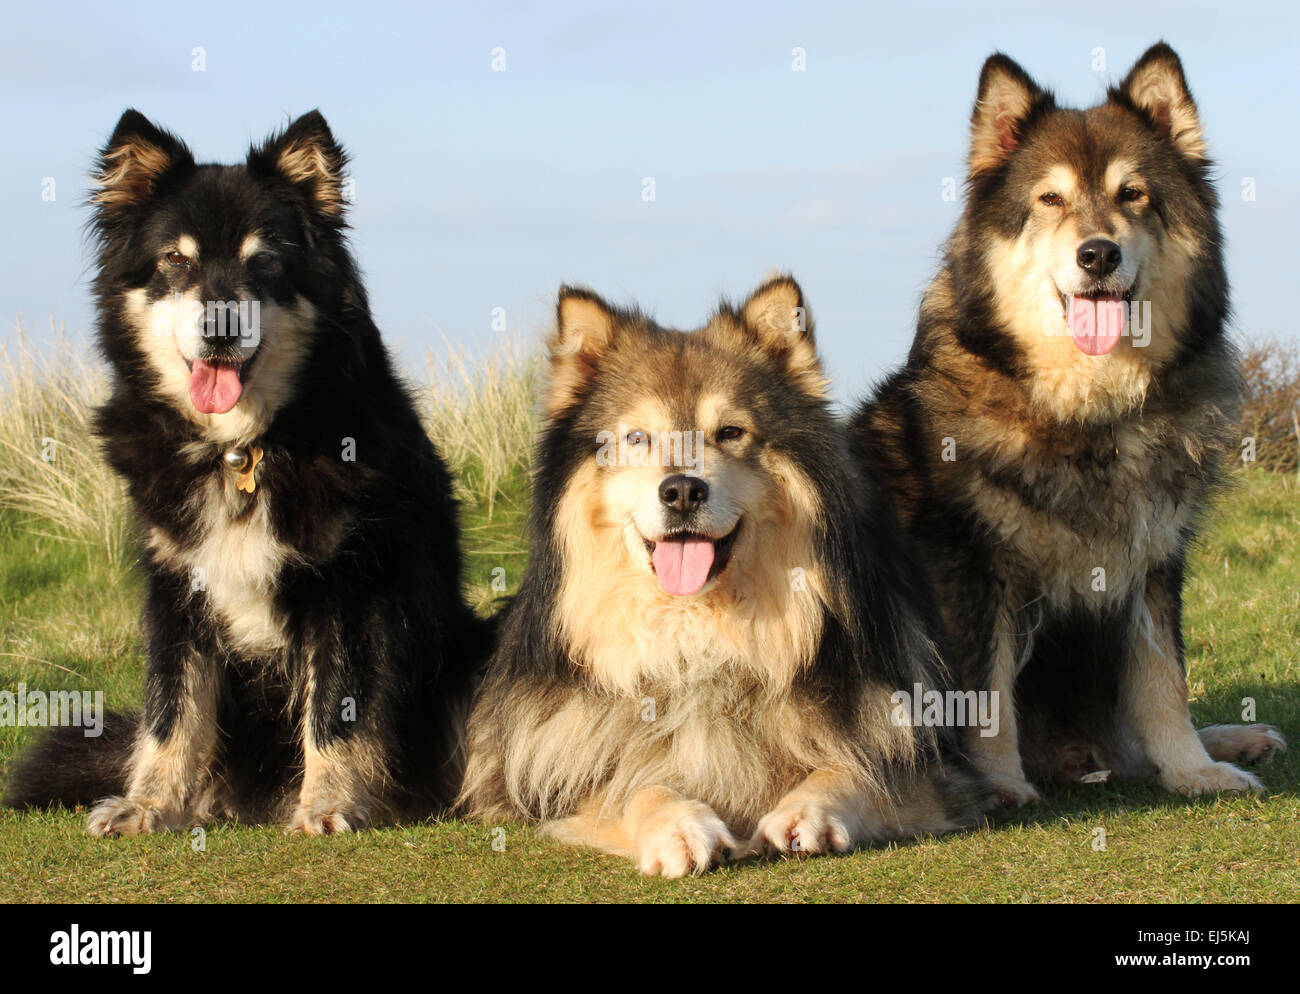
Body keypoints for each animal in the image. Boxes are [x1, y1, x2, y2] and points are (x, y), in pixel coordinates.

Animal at [852, 48, 1279, 805]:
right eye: (1050, 200)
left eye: (1133, 194)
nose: (1098, 254)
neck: (1087, 414)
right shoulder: (972, 567)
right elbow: (984, 688)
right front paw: (998, 784)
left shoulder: (1153, 558)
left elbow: (1164, 678)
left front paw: (1192, 768)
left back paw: (1233, 740)